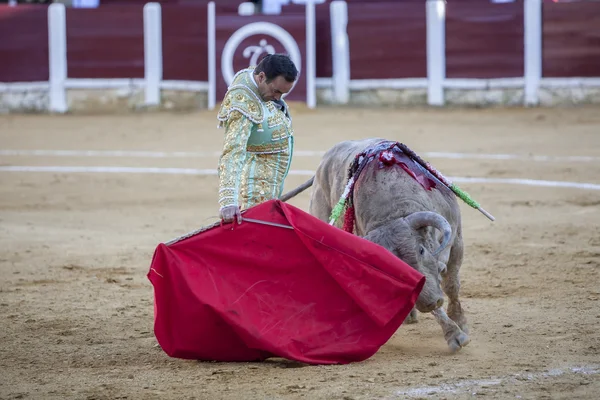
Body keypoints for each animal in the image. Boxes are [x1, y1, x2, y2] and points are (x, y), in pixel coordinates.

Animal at [284, 139, 472, 352]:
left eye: (421, 250)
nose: (431, 303)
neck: (392, 209)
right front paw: (454, 334)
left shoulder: (457, 238)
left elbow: (451, 284)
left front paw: (460, 321)